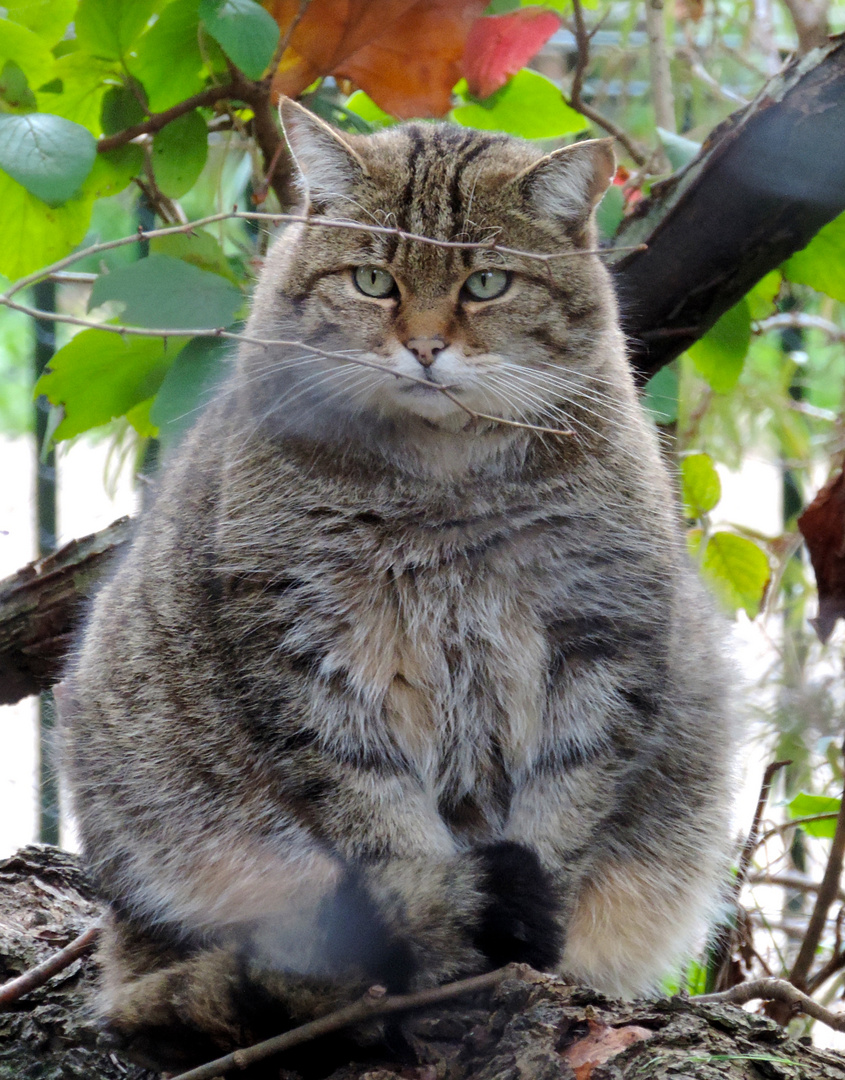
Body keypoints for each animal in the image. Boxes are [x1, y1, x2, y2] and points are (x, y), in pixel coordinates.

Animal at [59, 101, 739, 1071]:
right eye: (373, 280)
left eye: (487, 283)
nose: (423, 347)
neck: (443, 482)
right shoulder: (309, 655)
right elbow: (387, 829)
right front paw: (446, 956)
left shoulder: (601, 641)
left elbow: (561, 816)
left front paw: (532, 952)